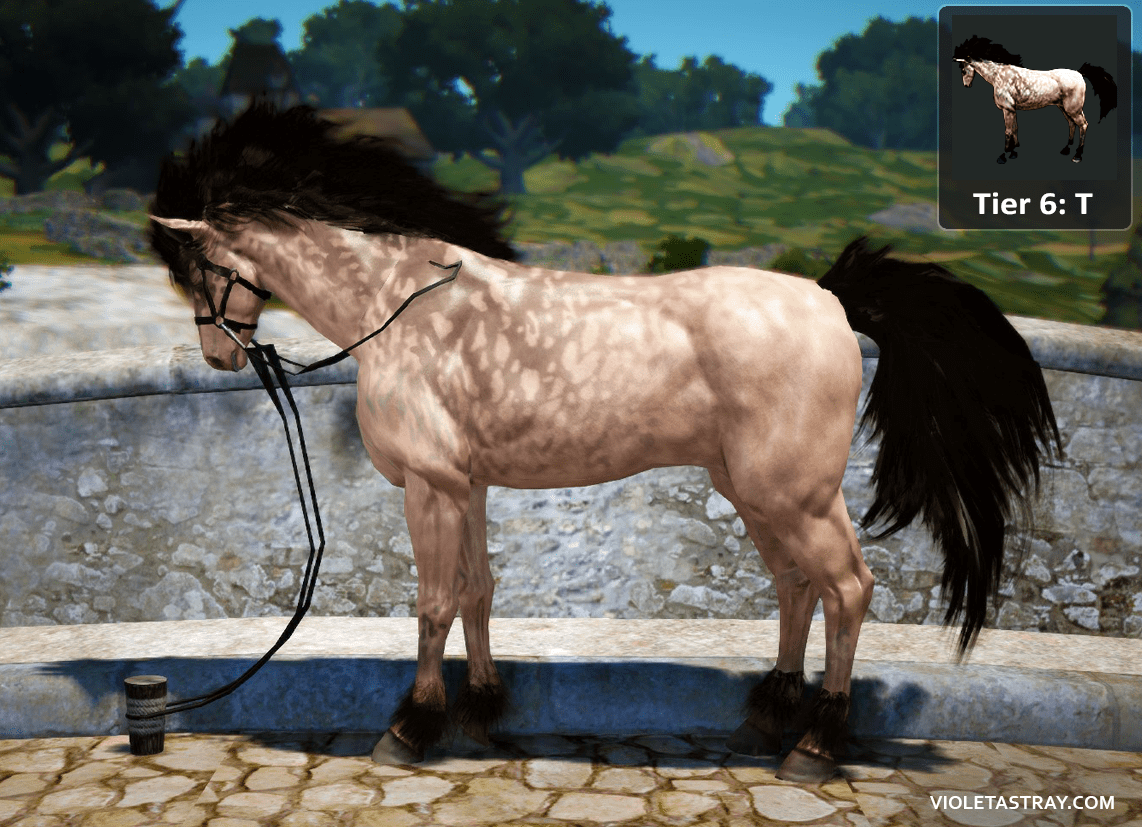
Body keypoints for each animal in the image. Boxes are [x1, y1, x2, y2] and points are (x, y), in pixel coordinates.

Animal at [148, 103, 1060, 783]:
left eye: (194, 269)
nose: (219, 355)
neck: (403, 307)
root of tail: (828, 297)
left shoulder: (431, 485)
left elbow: (435, 601)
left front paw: (411, 727)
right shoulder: (467, 484)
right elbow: (478, 592)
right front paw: (480, 714)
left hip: (792, 495)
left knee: (847, 587)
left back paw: (816, 744)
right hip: (753, 493)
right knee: (797, 586)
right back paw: (768, 718)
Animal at [953, 35, 1117, 165]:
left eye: (963, 69)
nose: (966, 85)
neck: (999, 76)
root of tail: (1079, 73)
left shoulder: (1007, 109)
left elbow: (1008, 131)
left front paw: (1003, 156)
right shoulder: (1012, 110)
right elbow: (1015, 128)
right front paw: (1014, 152)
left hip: (1074, 109)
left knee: (1083, 125)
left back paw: (1077, 156)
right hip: (1063, 108)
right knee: (1071, 124)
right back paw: (1066, 149)